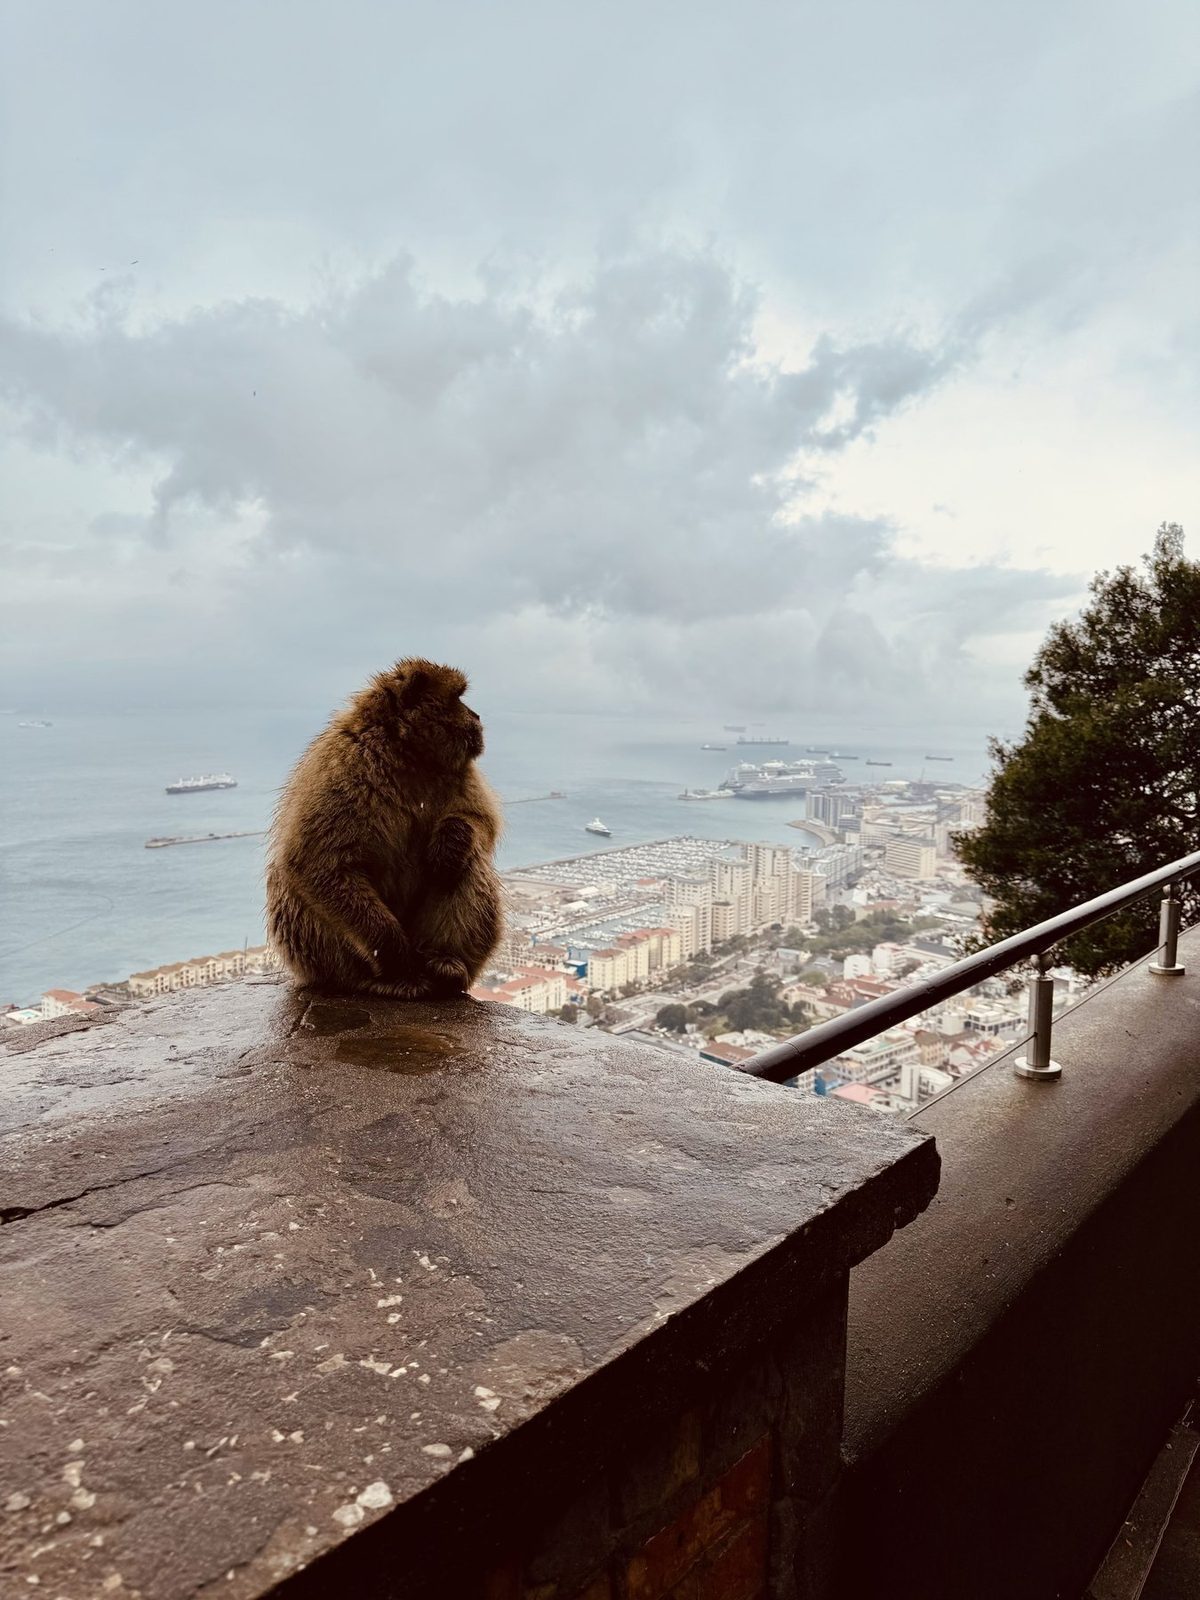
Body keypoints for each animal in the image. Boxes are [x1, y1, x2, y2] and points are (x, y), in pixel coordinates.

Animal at [265, 659, 503, 1000]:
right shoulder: (344, 763)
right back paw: (374, 979)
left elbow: (481, 822)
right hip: (317, 956)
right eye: (458, 698)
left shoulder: (461, 771)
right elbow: (317, 863)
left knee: (467, 864)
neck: (408, 754)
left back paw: (446, 966)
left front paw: (452, 839)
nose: (477, 716)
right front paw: (394, 957)